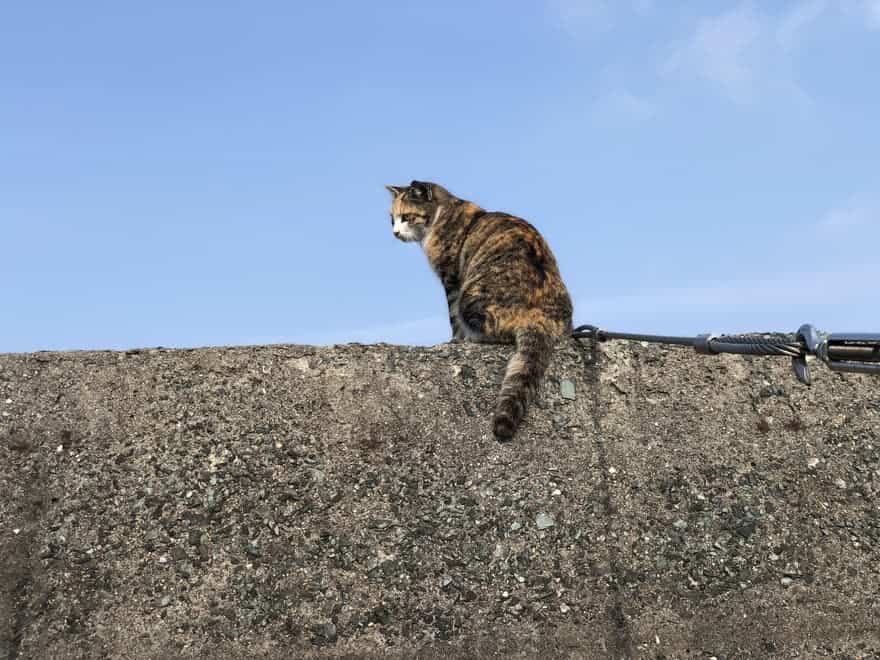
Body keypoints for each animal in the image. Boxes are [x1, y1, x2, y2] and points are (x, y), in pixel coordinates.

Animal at [386, 180, 576, 440]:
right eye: (391, 219)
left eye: (406, 217)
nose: (395, 233)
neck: (444, 212)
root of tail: (539, 316)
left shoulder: (452, 280)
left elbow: (453, 318)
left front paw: (455, 340)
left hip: (470, 297)